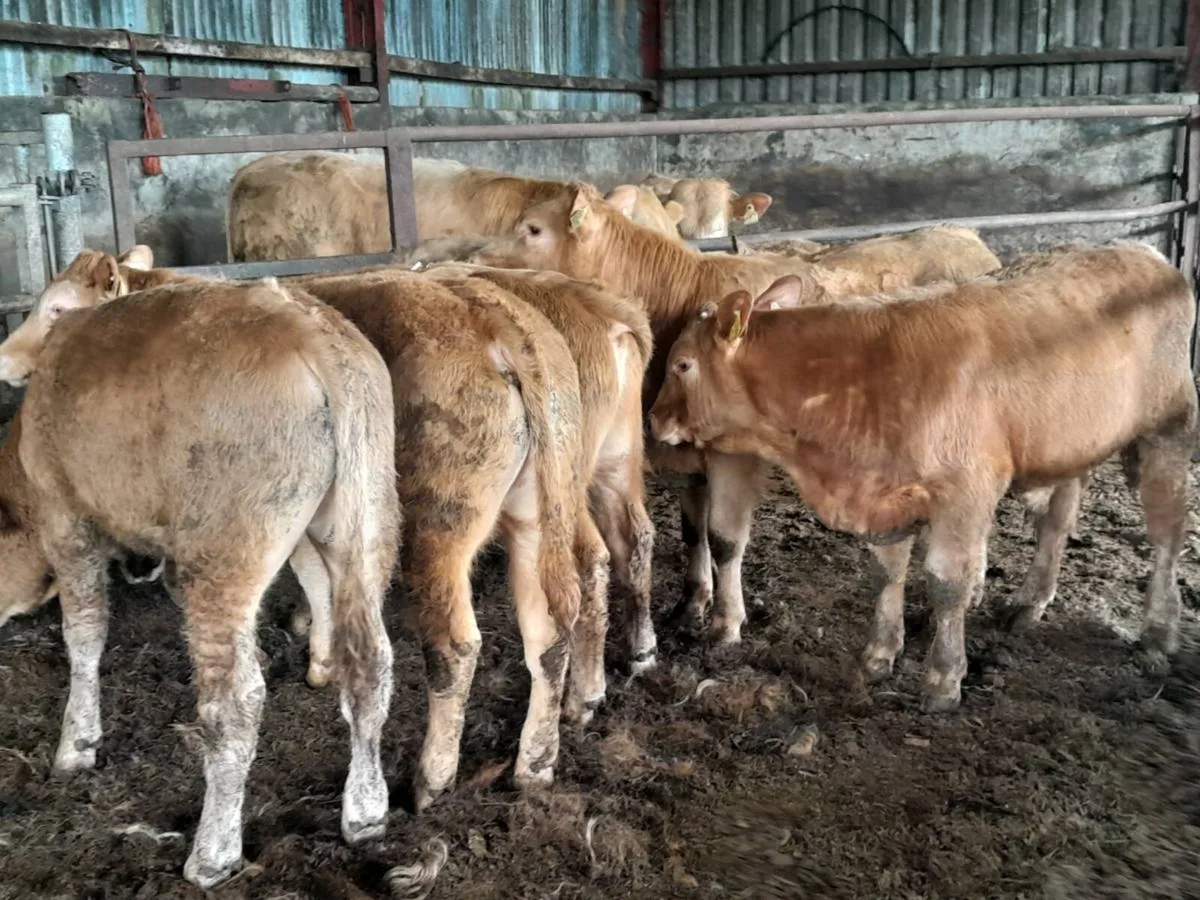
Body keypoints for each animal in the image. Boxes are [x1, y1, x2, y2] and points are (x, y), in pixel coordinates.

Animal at [0, 275, 400, 888]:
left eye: (53, 307)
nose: (6, 361)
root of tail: (306, 325)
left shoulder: (65, 517)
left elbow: (84, 633)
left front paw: (77, 743)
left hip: (226, 549)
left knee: (234, 700)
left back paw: (212, 852)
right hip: (364, 517)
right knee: (372, 662)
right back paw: (366, 811)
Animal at [464, 183, 1002, 651]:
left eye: (532, 229)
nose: (474, 258)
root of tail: (965, 238)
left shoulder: (733, 450)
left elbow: (724, 538)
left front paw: (725, 622)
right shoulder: (683, 447)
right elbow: (693, 532)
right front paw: (690, 604)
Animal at [648, 242, 1197, 712]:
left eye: (682, 364)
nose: (653, 419)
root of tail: (1145, 254)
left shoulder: (965, 493)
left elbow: (947, 583)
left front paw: (943, 677)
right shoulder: (884, 494)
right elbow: (887, 572)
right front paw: (880, 653)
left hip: (1169, 431)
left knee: (1167, 536)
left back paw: (1158, 631)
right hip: (1071, 447)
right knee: (1058, 520)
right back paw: (1030, 601)